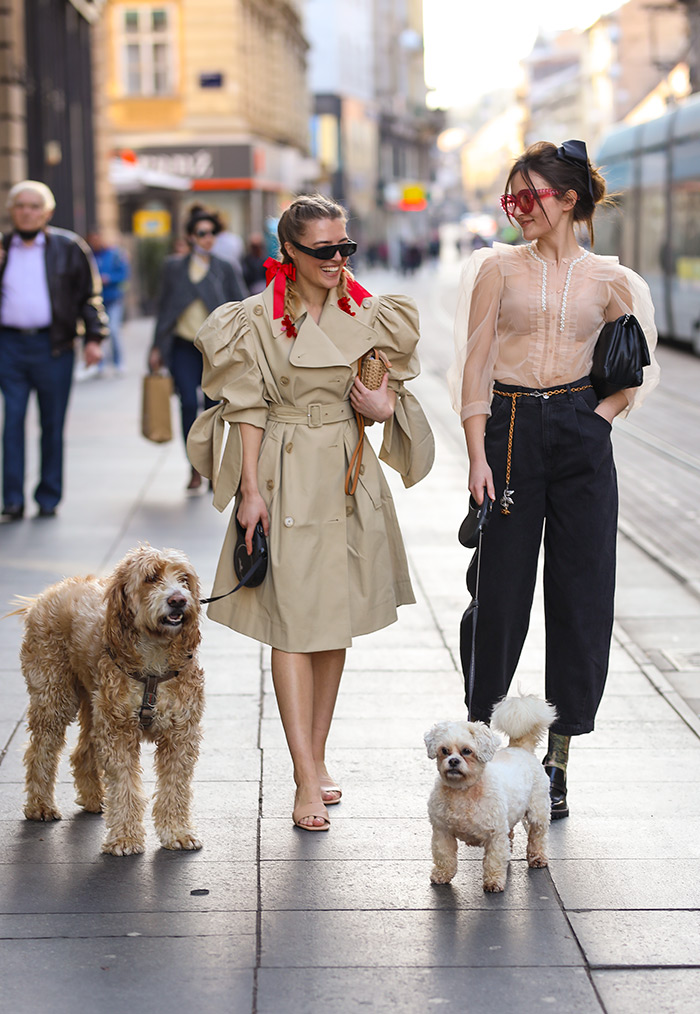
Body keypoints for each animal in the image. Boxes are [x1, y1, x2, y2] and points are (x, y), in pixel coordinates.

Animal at [17, 547, 204, 855]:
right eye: (151, 578)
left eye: (184, 579)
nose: (178, 599)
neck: (154, 656)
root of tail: (51, 591)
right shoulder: (118, 731)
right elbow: (125, 785)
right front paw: (125, 838)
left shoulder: (180, 733)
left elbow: (174, 786)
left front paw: (177, 832)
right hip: (54, 696)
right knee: (40, 749)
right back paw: (40, 805)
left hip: (94, 704)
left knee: (81, 751)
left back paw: (94, 799)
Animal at [422, 693, 551, 892]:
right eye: (444, 750)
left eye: (467, 751)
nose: (453, 761)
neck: (463, 790)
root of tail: (520, 748)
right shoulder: (442, 832)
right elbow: (444, 856)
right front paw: (442, 875)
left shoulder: (495, 835)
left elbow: (494, 860)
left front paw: (494, 882)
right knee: (511, 833)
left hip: (538, 812)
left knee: (537, 836)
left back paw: (537, 857)